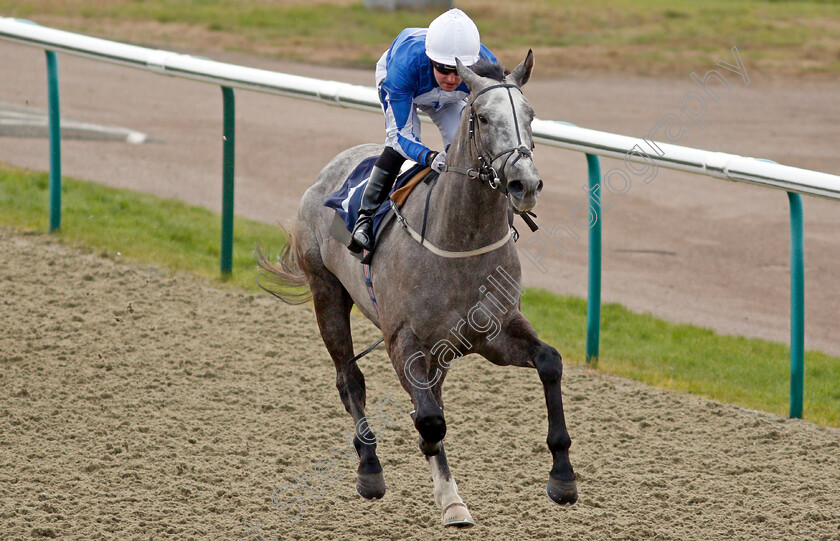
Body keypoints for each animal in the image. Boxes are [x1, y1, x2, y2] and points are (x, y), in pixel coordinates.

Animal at [260, 49, 576, 524]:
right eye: (483, 117)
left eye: (531, 115)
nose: (526, 184)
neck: (459, 244)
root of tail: (329, 170)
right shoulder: (402, 341)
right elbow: (429, 419)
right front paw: (440, 478)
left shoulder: (493, 333)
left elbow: (549, 362)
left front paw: (562, 476)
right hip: (327, 293)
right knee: (349, 379)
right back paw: (370, 469)